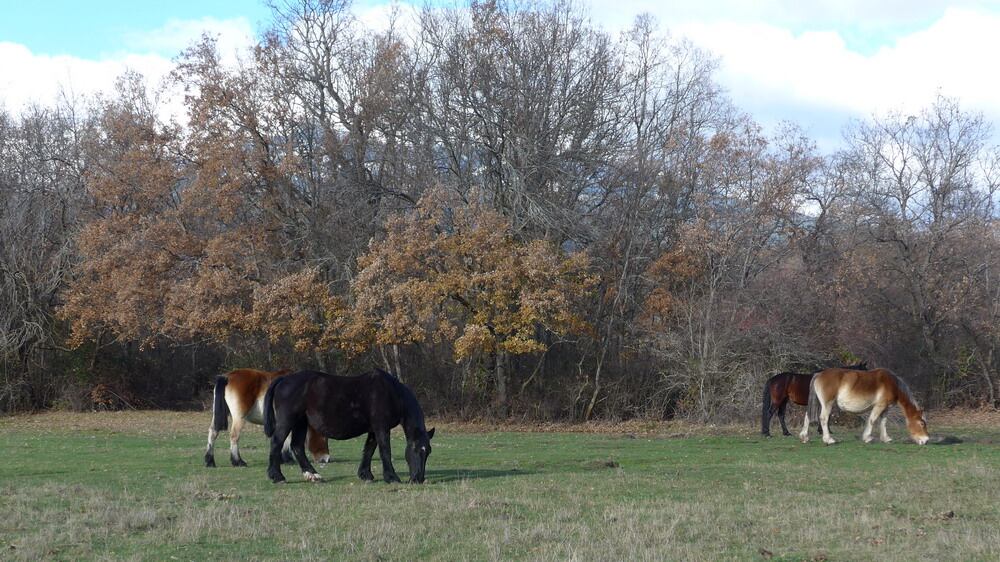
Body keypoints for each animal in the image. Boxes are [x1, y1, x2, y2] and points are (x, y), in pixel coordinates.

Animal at [264, 368, 436, 482]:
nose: (418, 479)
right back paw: (277, 476)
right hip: (288, 421)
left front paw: (365, 475)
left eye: (428, 452)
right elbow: (385, 451)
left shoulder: (374, 430)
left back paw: (313, 474)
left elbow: (369, 450)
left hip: (300, 422)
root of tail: (283, 379)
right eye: (415, 449)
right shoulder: (381, 428)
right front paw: (392, 477)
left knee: (297, 446)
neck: (391, 393)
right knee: (277, 442)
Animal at [796, 366, 928, 444]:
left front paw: (885, 438)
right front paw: (867, 437)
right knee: (823, 418)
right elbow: (872, 420)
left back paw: (804, 437)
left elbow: (883, 422)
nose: (926, 440)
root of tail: (819, 374)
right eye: (922, 423)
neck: (893, 384)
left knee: (807, 416)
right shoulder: (879, 406)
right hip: (827, 404)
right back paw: (828, 439)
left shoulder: (885, 408)